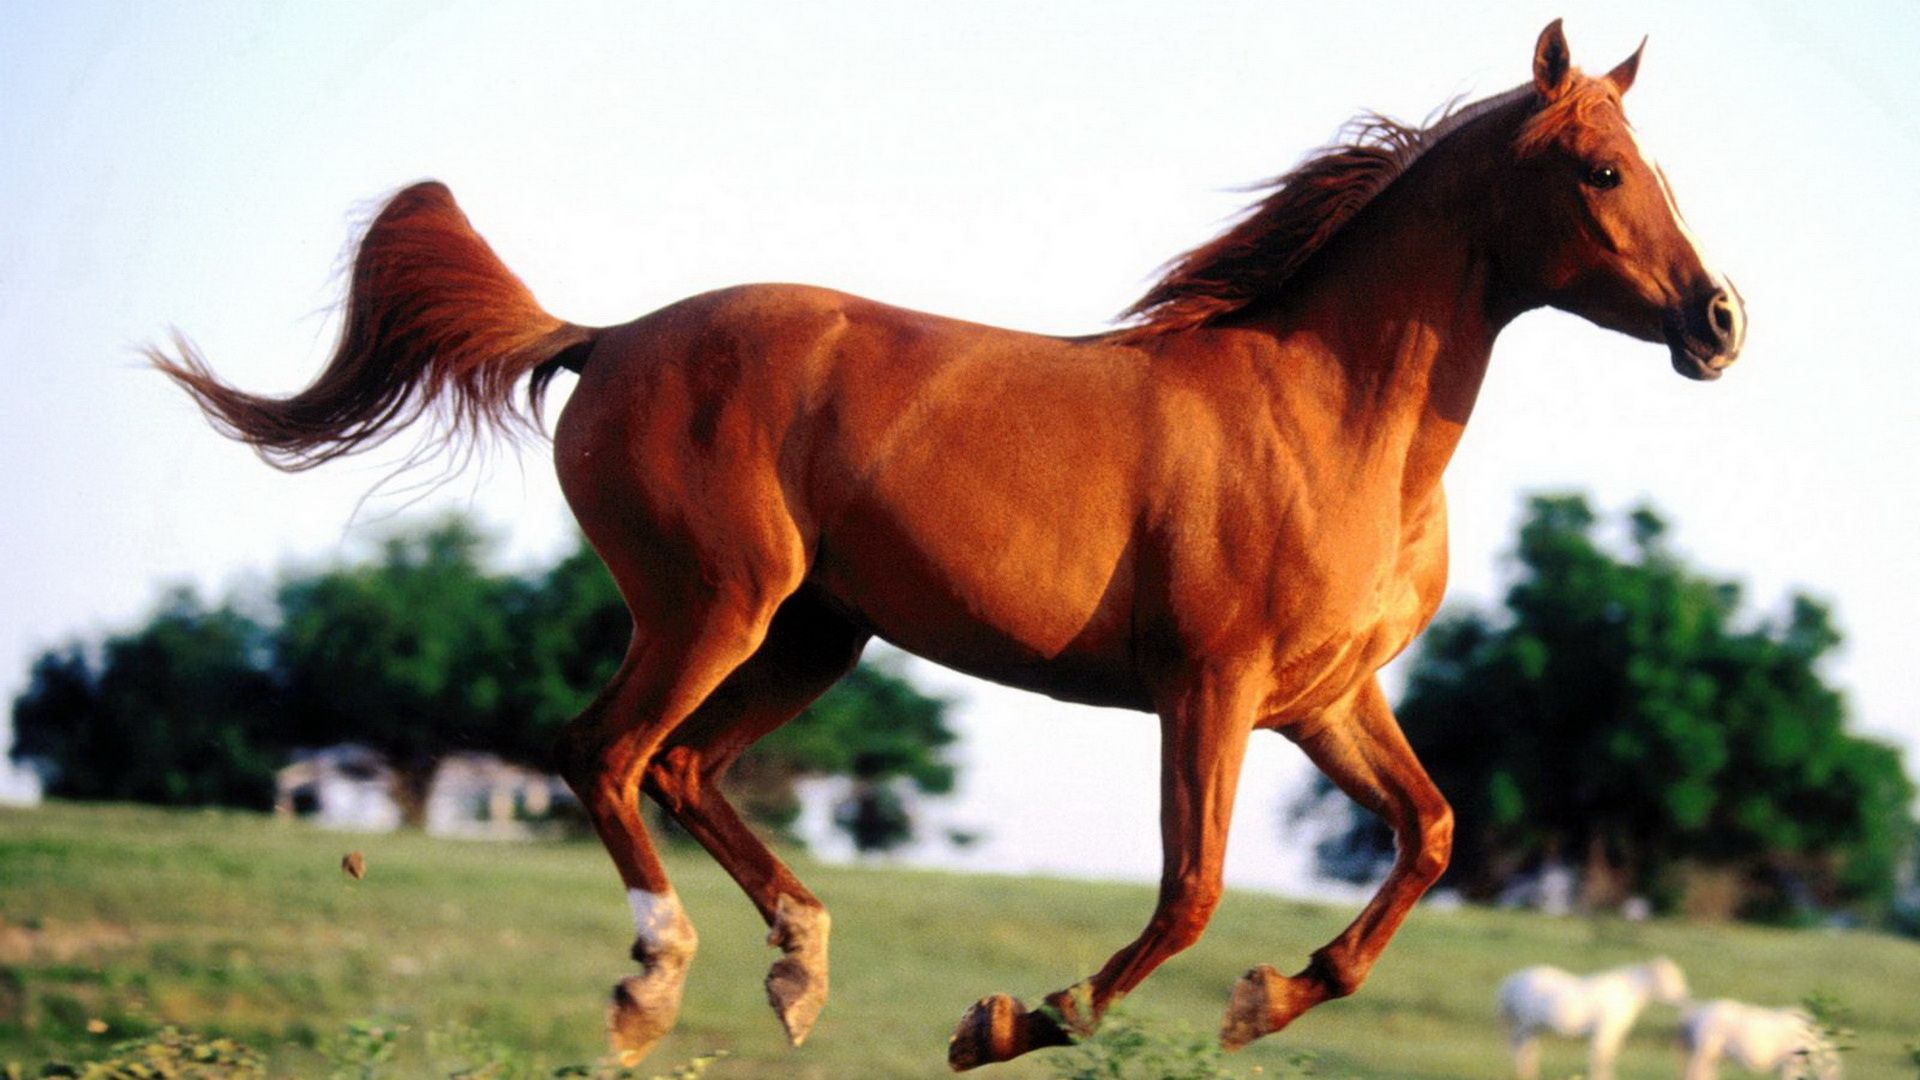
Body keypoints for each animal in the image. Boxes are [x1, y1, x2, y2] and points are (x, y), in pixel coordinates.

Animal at [1497, 958, 1691, 1080]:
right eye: (1668, 979)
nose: (1684, 996)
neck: (1625, 991)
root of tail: (1511, 981)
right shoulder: (1606, 1031)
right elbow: (1601, 1057)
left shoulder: (1610, 1034)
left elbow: (1605, 1056)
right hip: (1524, 1025)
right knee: (1520, 1046)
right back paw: (1524, 1074)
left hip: (1533, 1027)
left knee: (1528, 1047)